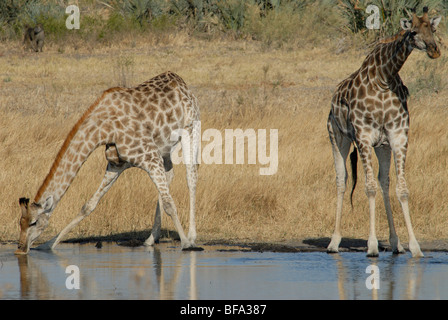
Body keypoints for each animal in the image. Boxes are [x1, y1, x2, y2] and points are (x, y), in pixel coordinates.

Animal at [15, 71, 200, 254]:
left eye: (34, 222)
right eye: (20, 222)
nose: (20, 248)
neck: (103, 130)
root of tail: (182, 84)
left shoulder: (150, 157)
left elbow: (170, 204)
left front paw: (186, 243)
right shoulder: (116, 164)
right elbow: (89, 205)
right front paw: (47, 245)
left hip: (190, 130)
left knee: (191, 178)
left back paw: (191, 236)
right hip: (164, 148)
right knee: (170, 176)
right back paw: (150, 239)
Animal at [326, 7, 440, 258]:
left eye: (433, 29)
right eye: (413, 32)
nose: (434, 50)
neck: (383, 78)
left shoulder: (398, 136)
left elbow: (402, 189)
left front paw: (414, 247)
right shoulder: (363, 137)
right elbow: (368, 189)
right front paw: (371, 246)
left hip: (383, 147)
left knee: (384, 181)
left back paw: (396, 243)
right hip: (337, 138)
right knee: (342, 179)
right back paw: (334, 242)